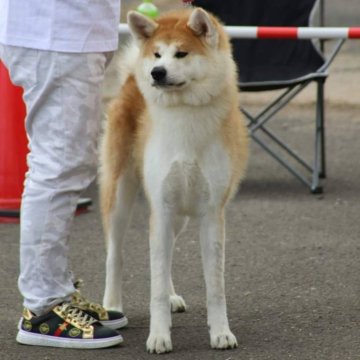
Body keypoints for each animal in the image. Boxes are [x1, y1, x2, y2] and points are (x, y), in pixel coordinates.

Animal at [100, 7, 249, 352]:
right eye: (157, 54)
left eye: (181, 53)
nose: (157, 72)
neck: (184, 116)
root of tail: (131, 79)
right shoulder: (162, 207)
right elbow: (153, 284)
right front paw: (158, 335)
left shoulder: (211, 214)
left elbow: (215, 287)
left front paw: (221, 332)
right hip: (121, 197)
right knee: (116, 255)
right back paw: (112, 305)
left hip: (178, 216)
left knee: (166, 258)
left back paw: (171, 296)